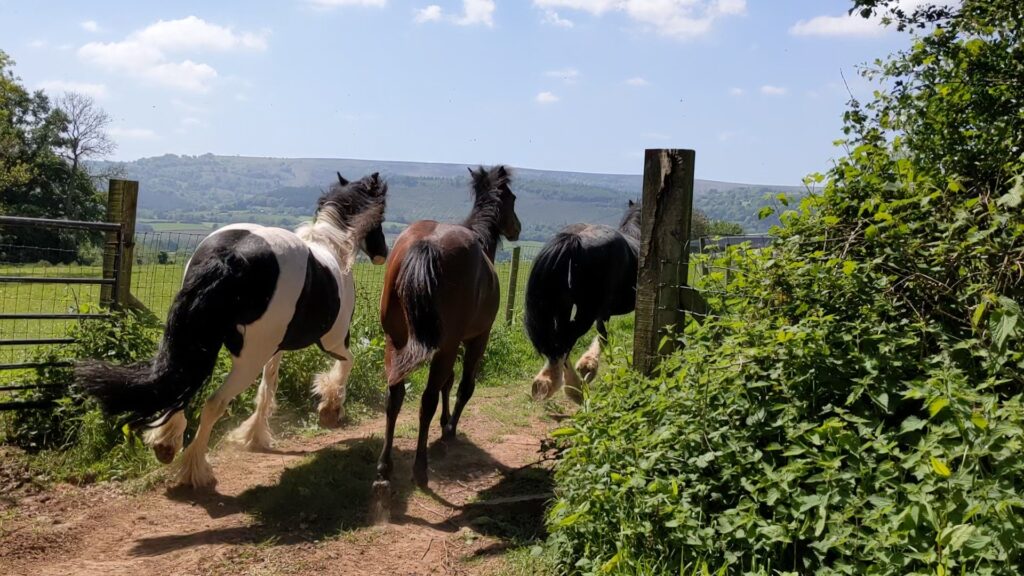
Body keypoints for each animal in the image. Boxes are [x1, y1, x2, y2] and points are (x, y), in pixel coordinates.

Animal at [77, 170, 389, 483]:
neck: (332, 249)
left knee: (182, 386)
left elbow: (268, 385)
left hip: (202, 342)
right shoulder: (334, 341)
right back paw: (194, 469)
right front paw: (330, 410)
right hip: (247, 360)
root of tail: (229, 257)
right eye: (381, 217)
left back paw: (165, 445)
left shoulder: (275, 349)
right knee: (213, 402)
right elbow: (347, 364)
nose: (383, 253)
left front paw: (255, 436)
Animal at [374, 165, 520, 502]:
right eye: (513, 198)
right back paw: (420, 470)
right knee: (426, 400)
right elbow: (464, 386)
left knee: (394, 396)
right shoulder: (477, 339)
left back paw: (385, 467)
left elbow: (447, 383)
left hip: (395, 341)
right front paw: (449, 429)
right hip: (447, 346)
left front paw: (444, 424)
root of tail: (425, 245)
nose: (517, 227)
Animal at [528, 199, 638, 401]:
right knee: (566, 340)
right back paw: (571, 388)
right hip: (586, 310)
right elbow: (603, 337)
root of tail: (575, 239)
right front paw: (589, 367)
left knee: (559, 343)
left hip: (564, 308)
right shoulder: (604, 312)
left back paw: (549, 382)